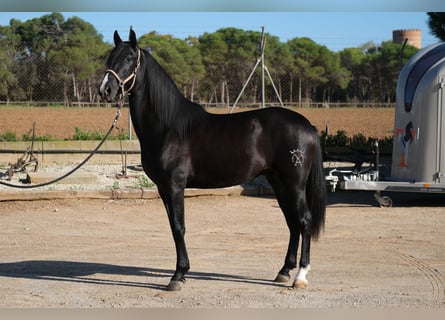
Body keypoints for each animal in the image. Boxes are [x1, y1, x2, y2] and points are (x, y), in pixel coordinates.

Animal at [98, 28, 326, 292]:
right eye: (110, 57)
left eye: (128, 59)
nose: (105, 90)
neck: (168, 127)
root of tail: (307, 125)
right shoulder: (163, 188)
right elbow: (173, 227)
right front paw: (181, 272)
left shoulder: (175, 186)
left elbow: (179, 227)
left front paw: (178, 275)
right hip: (279, 182)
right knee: (292, 223)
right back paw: (284, 271)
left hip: (295, 184)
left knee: (304, 221)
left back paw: (300, 276)